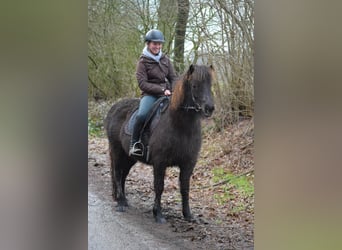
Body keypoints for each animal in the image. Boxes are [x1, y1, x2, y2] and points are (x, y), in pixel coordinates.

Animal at [105, 64, 215, 223]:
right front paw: (158, 214)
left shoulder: (188, 163)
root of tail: (114, 108)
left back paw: (124, 201)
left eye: (210, 85)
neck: (180, 126)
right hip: (117, 151)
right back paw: (120, 203)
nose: (210, 108)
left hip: (129, 157)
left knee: (123, 174)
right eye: (195, 85)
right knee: (118, 173)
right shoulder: (159, 162)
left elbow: (185, 188)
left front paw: (188, 215)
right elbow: (159, 186)